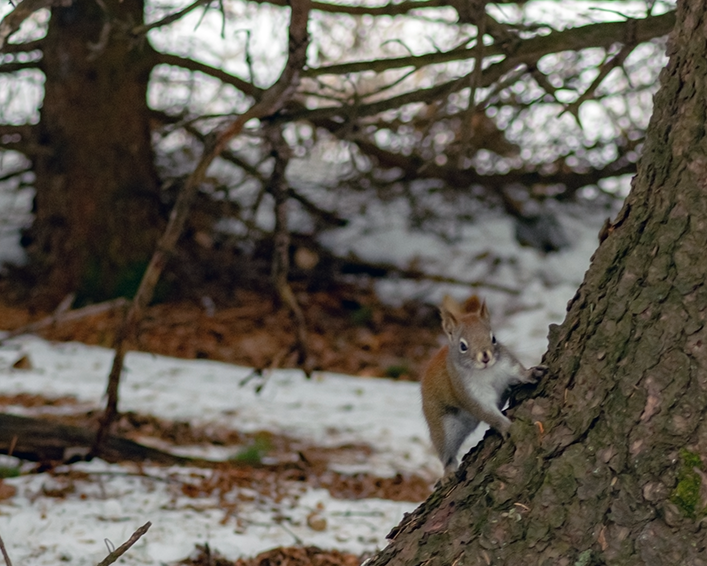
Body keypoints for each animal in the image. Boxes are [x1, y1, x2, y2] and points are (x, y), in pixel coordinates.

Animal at [421, 294, 546, 479]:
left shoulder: (507, 365)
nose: (485, 357)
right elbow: (487, 411)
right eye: (463, 346)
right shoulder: (469, 392)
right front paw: (506, 427)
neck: (486, 371)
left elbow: (519, 373)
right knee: (446, 453)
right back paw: (448, 472)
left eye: (493, 338)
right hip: (443, 427)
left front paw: (531, 374)